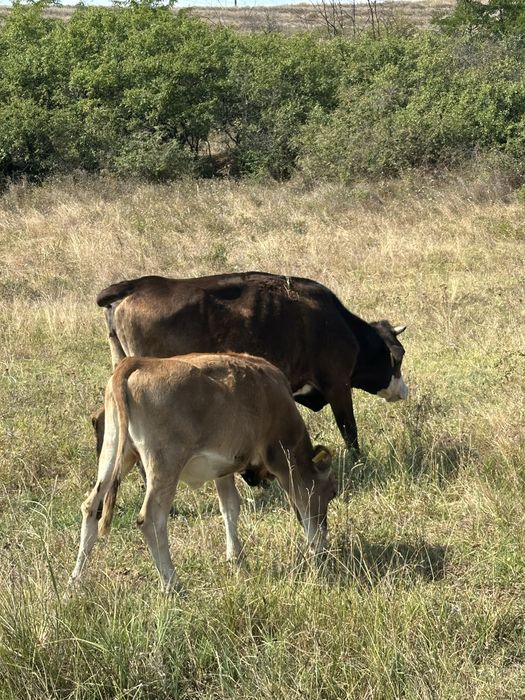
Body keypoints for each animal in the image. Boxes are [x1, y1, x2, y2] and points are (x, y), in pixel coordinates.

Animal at [70, 353, 337, 592]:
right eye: (331, 493)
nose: (323, 543)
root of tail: (139, 363)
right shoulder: (281, 457)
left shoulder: (223, 470)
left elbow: (230, 507)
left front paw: (235, 557)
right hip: (165, 464)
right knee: (151, 519)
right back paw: (172, 584)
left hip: (115, 453)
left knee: (91, 507)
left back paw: (74, 583)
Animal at [94, 272, 408, 453]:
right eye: (398, 357)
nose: (403, 391)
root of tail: (137, 286)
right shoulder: (337, 385)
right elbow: (349, 430)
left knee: (102, 421)